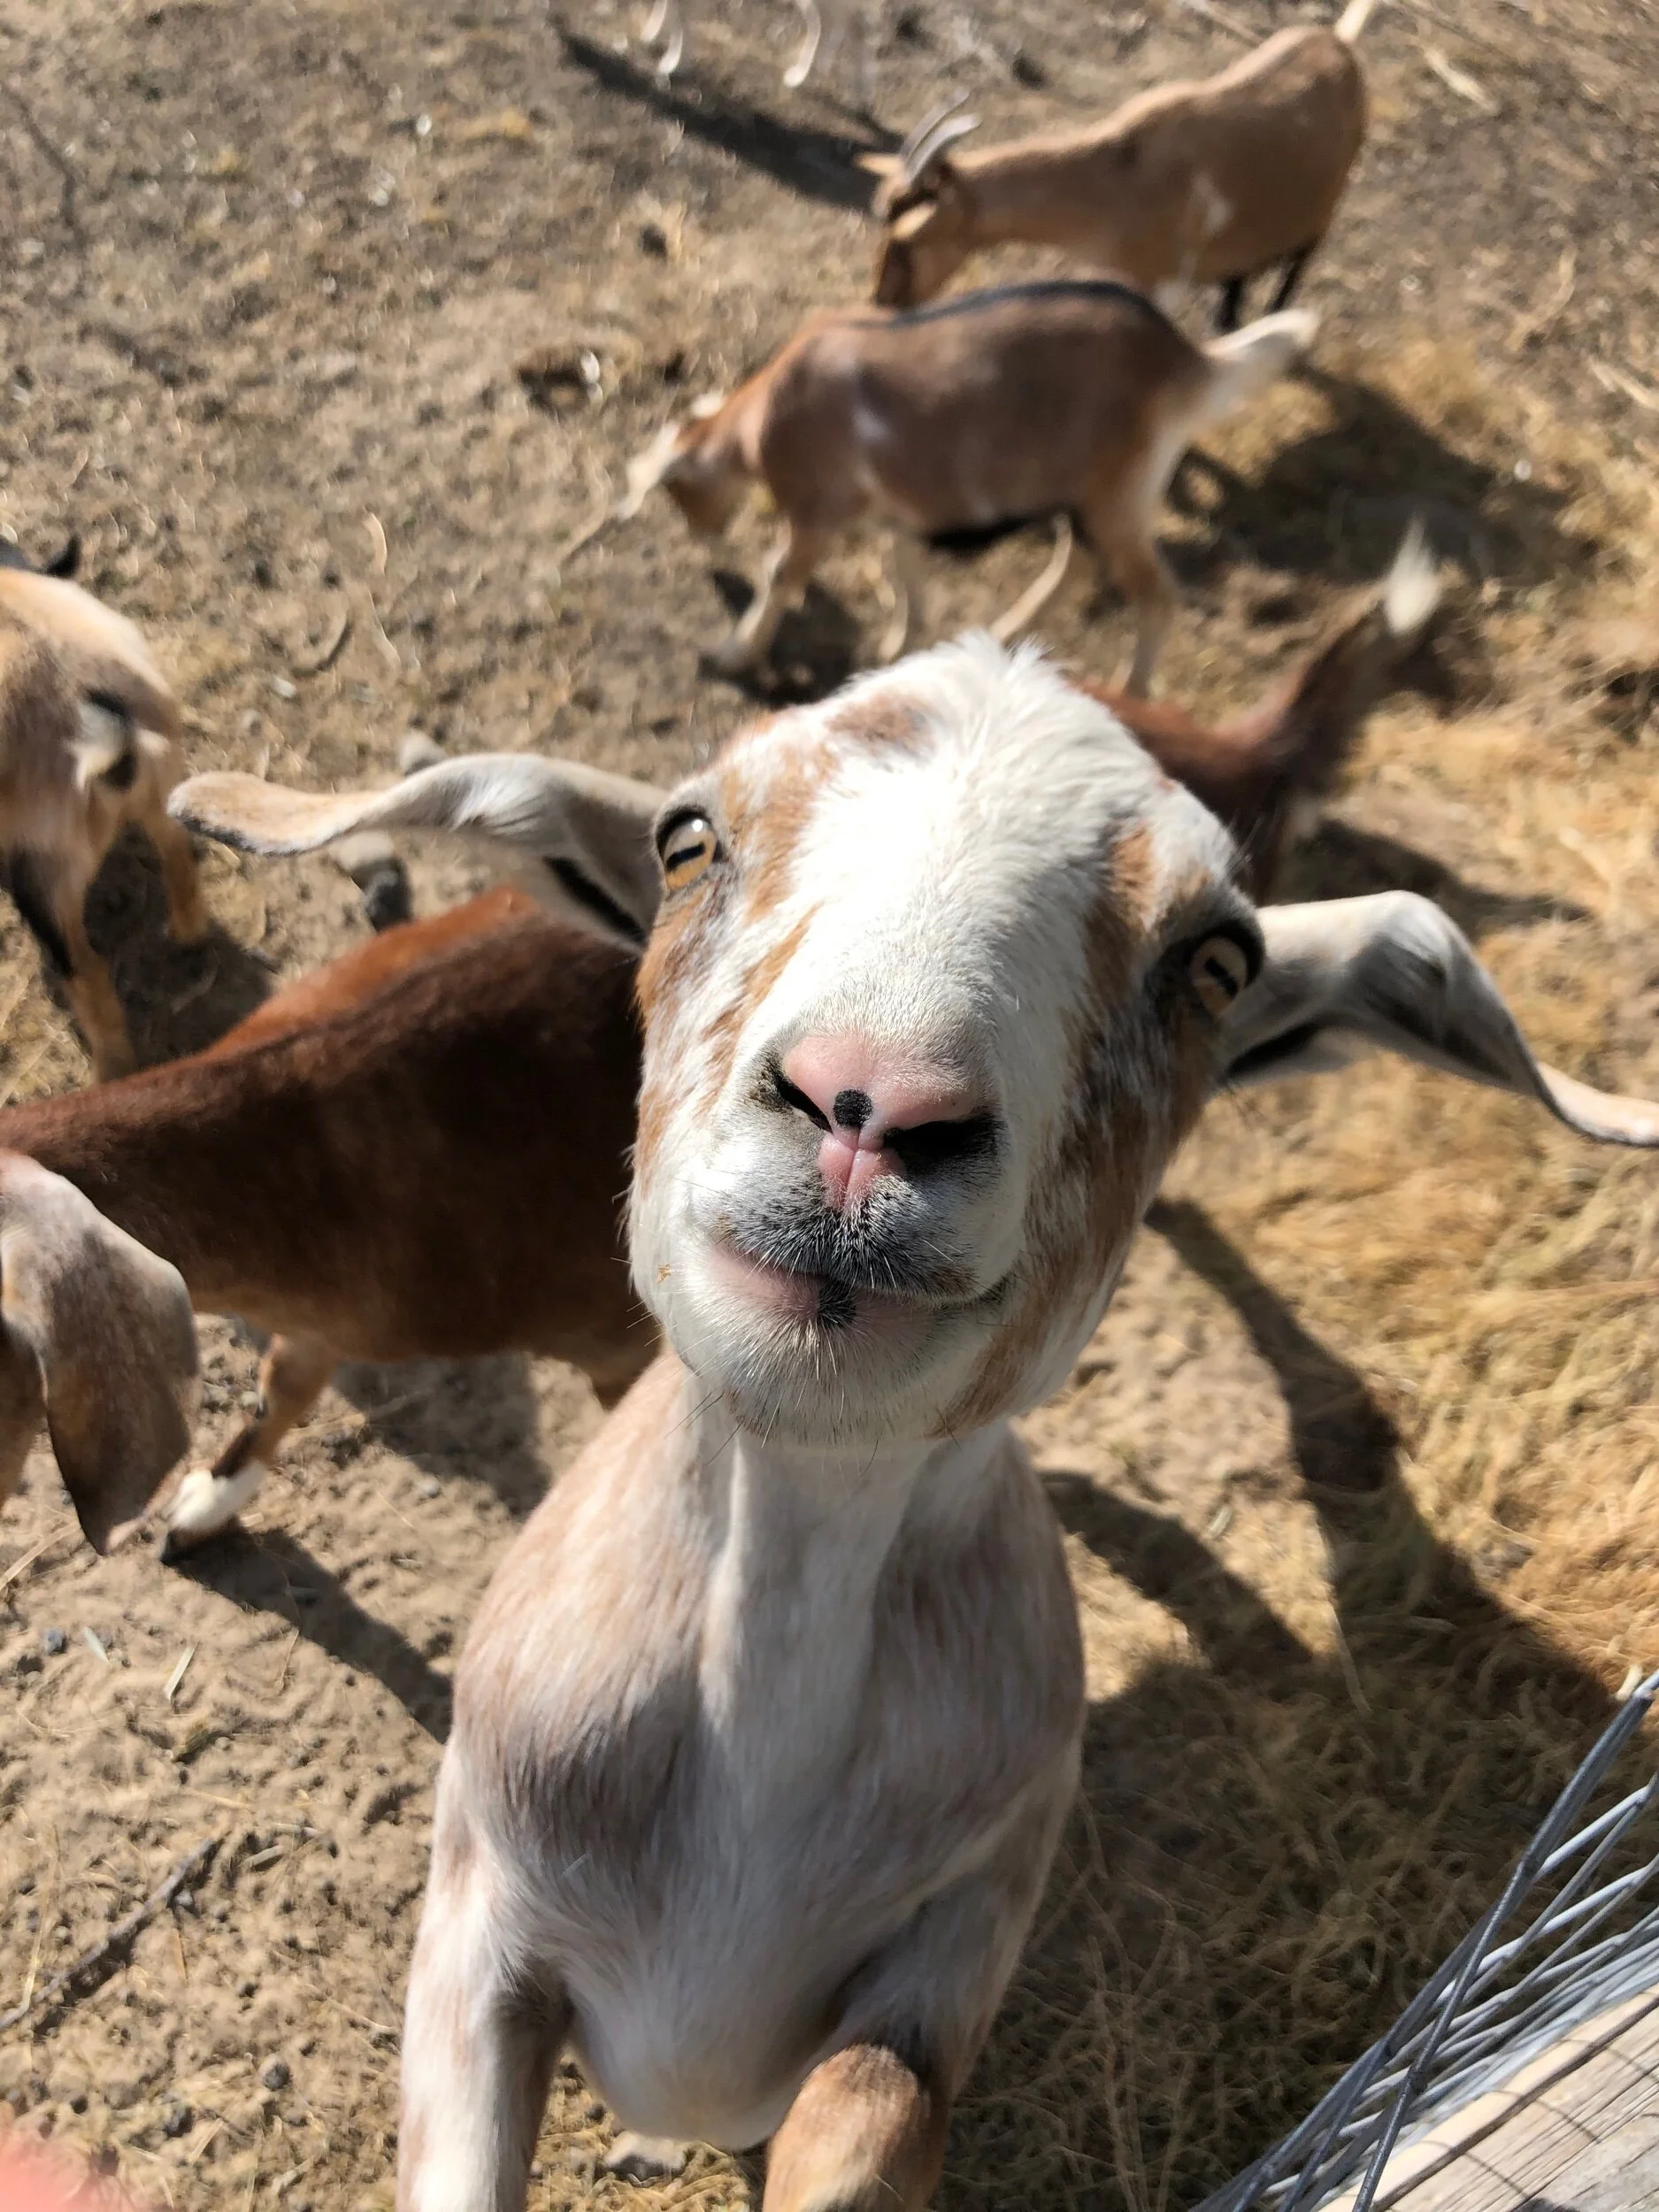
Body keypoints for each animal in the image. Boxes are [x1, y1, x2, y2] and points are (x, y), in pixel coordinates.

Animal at [0, 555, 207, 1079]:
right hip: (165, 787)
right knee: (178, 852)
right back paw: (189, 937)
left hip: (43, 880)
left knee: (86, 970)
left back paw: (113, 1073)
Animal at [269, 639, 1650, 2212]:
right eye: (686, 841)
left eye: (1213, 961)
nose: (867, 1107)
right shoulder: (476, 1936)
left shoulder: (954, 1948)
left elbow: (868, 2113)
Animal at [621, 280, 1315, 689]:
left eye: (676, 492)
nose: (704, 537)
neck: (763, 419)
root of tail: (1184, 360)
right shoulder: (897, 511)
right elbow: (905, 570)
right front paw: (899, 647)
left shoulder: (818, 511)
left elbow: (780, 574)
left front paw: (733, 654)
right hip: (1086, 496)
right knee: (1075, 561)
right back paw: (1007, 632)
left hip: (1118, 494)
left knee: (1157, 595)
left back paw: (1130, 694)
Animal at [866, 1, 1380, 325]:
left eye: (910, 240)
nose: (883, 301)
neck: (1119, 174)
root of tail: (1340, 43)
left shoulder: (1164, 282)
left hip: (1328, 200)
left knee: (1303, 255)